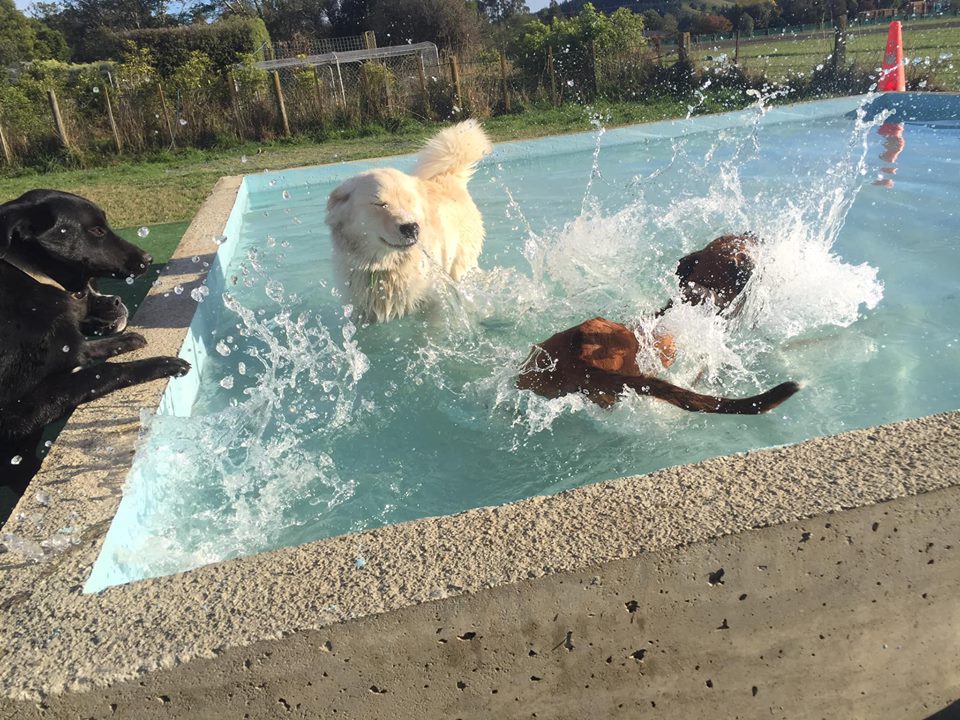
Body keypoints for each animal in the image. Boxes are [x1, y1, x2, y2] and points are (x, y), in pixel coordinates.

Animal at [324, 119, 492, 322]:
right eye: (380, 204)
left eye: (410, 201)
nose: (411, 228)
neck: (385, 267)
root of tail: (449, 178)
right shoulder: (359, 309)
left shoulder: (435, 299)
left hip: (460, 265)